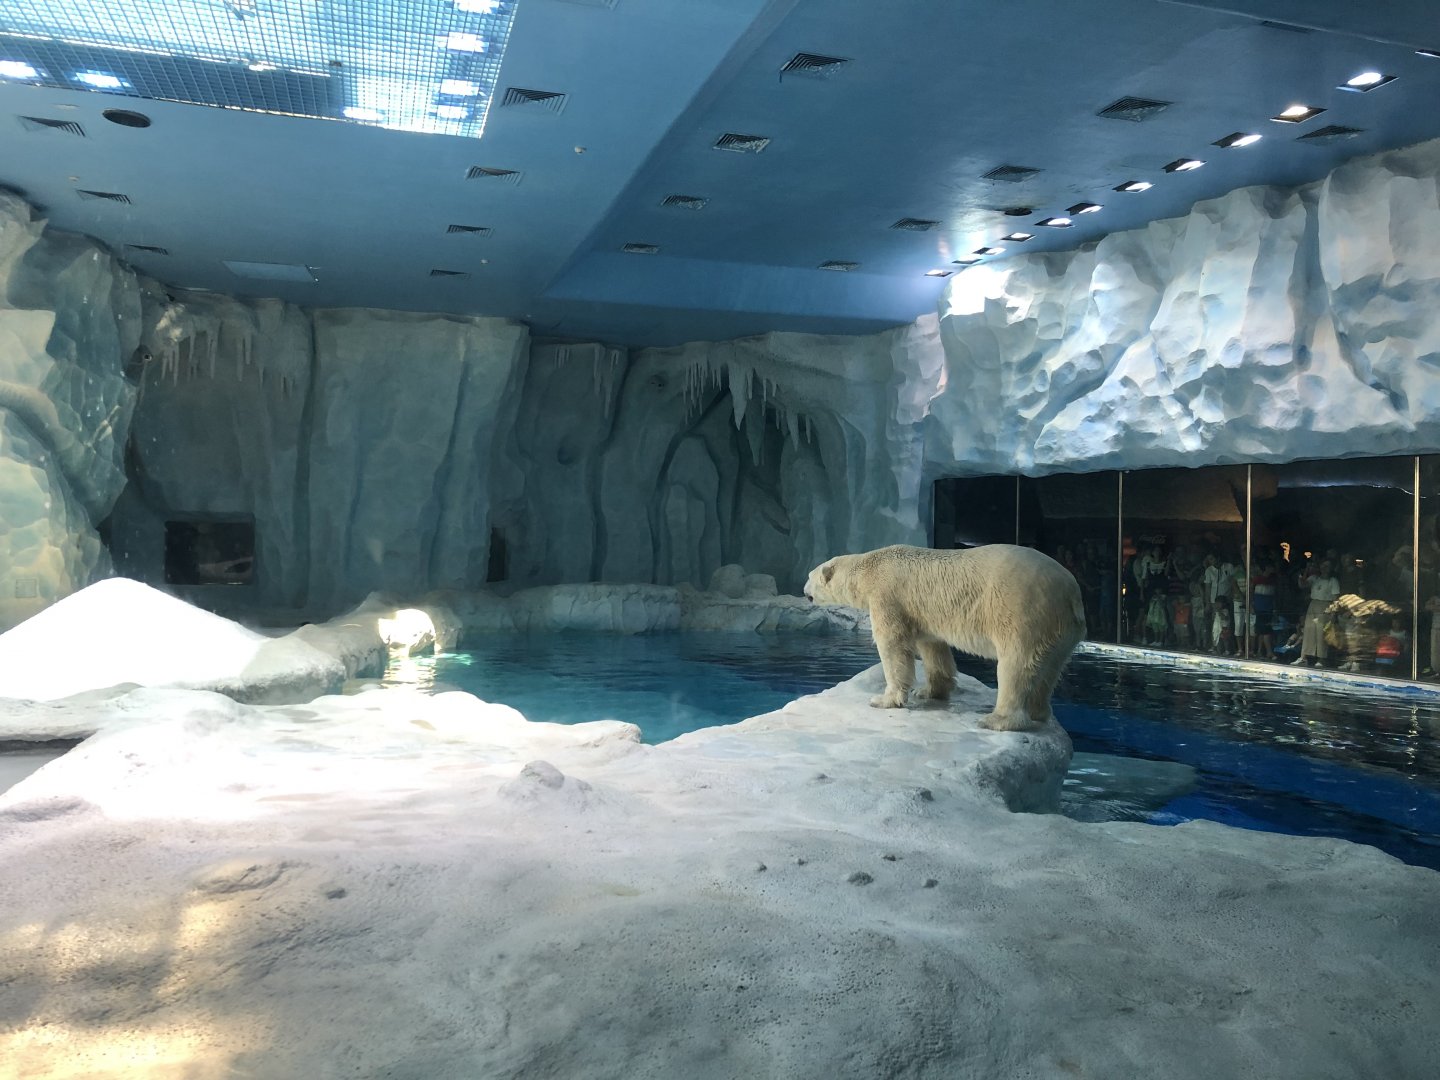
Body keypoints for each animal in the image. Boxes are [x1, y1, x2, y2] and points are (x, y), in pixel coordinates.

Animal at [803, 544, 1086, 731]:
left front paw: (884, 699)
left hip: (1023, 612)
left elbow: (893, 644)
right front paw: (929, 691)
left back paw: (996, 719)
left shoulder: (887, 596)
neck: (869, 568)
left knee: (1016, 665)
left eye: (809, 576)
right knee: (1050, 668)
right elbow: (932, 646)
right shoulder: (923, 612)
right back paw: (1039, 712)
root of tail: (1072, 592)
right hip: (1061, 630)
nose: (804, 590)